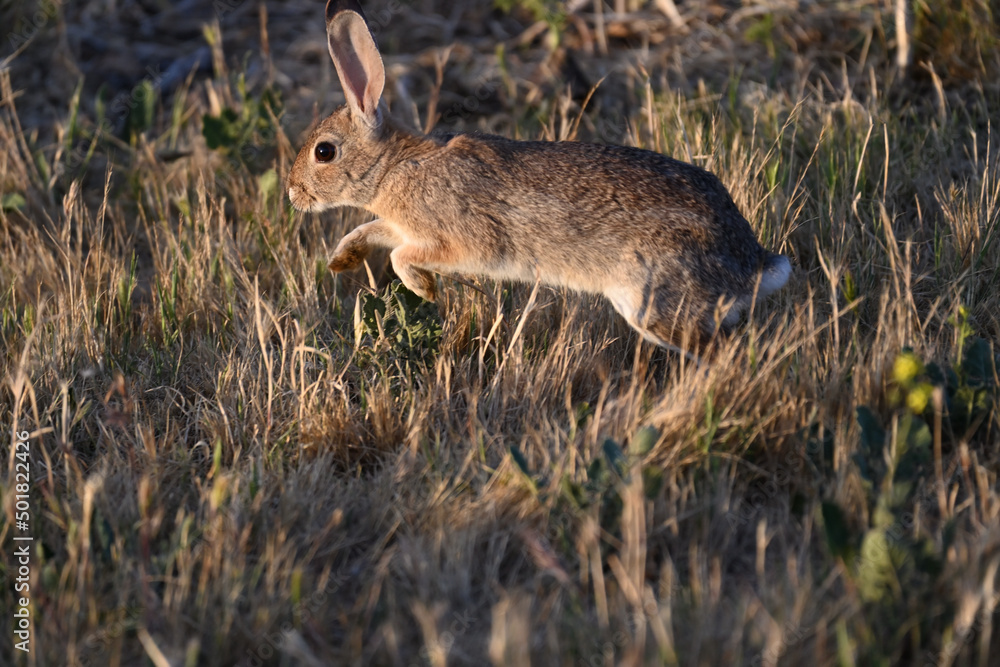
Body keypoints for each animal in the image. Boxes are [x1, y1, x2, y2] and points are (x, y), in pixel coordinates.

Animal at [287, 0, 791, 356]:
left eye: (324, 151)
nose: (294, 194)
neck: (395, 166)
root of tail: (753, 264)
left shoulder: (463, 241)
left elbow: (402, 255)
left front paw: (423, 288)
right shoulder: (401, 224)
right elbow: (370, 230)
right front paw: (341, 260)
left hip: (651, 300)